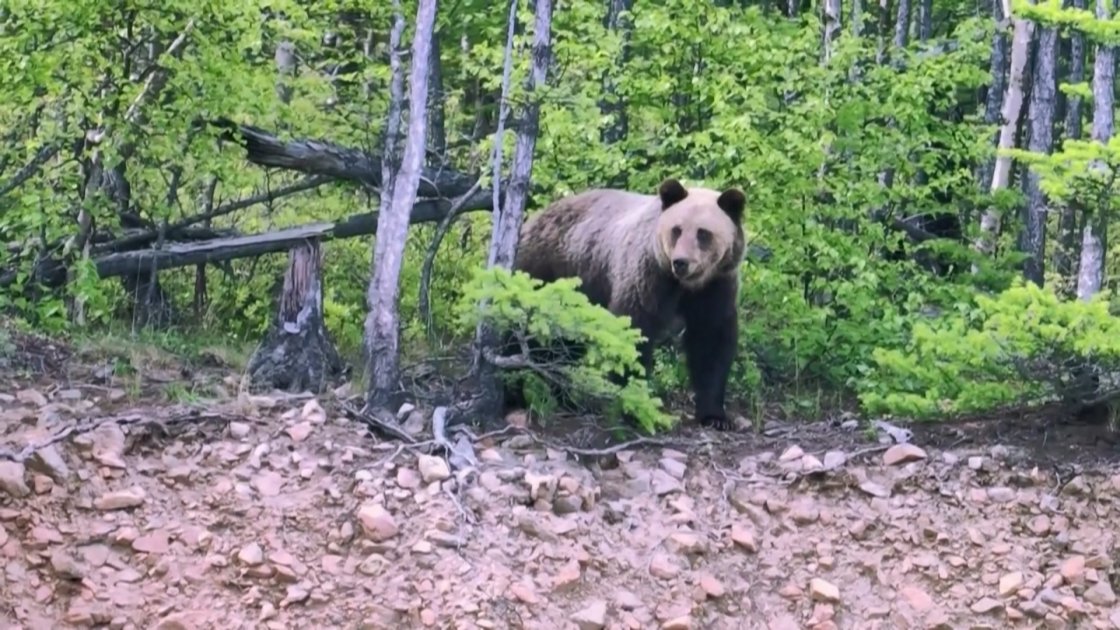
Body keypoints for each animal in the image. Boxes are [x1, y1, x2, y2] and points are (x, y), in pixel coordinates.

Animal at [504, 177, 747, 430]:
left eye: (703, 233)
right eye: (677, 230)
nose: (681, 262)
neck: (685, 285)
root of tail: (534, 217)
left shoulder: (716, 284)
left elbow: (711, 340)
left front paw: (715, 416)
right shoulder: (648, 274)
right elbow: (634, 329)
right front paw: (636, 407)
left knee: (565, 343)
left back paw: (564, 396)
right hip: (546, 271)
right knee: (525, 331)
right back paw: (516, 390)